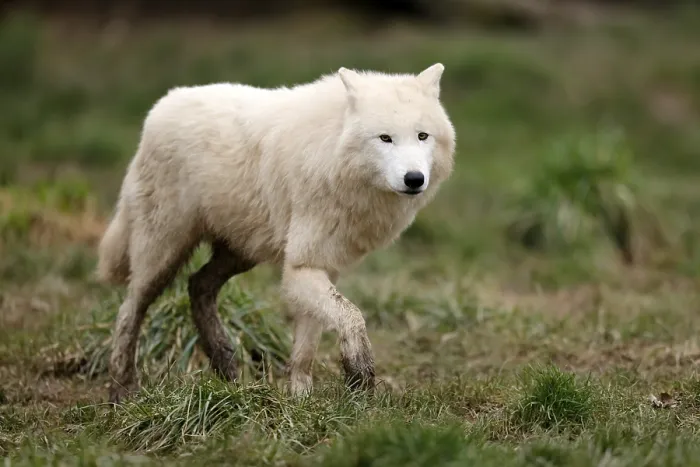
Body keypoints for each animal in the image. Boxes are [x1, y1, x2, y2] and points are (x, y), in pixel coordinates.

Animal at [97, 63, 456, 403]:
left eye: (422, 136)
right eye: (385, 138)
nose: (414, 179)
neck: (333, 153)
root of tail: (161, 105)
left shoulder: (322, 266)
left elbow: (307, 347)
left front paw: (301, 398)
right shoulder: (299, 268)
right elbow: (351, 315)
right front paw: (360, 375)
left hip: (241, 254)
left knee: (197, 285)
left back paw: (226, 367)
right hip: (163, 254)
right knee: (129, 310)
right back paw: (122, 392)